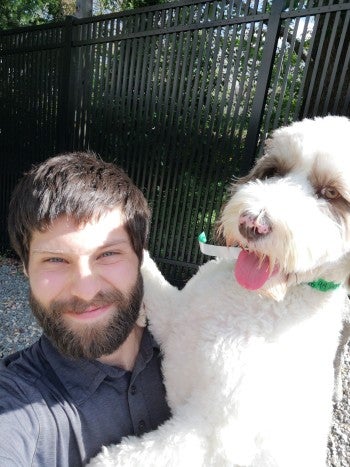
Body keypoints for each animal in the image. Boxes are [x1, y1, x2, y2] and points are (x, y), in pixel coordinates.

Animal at [89, 117, 350, 467]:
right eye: (273, 172)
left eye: (331, 193)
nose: (252, 222)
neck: (256, 301)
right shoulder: (175, 317)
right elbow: (145, 267)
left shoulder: (208, 431)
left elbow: (132, 456)